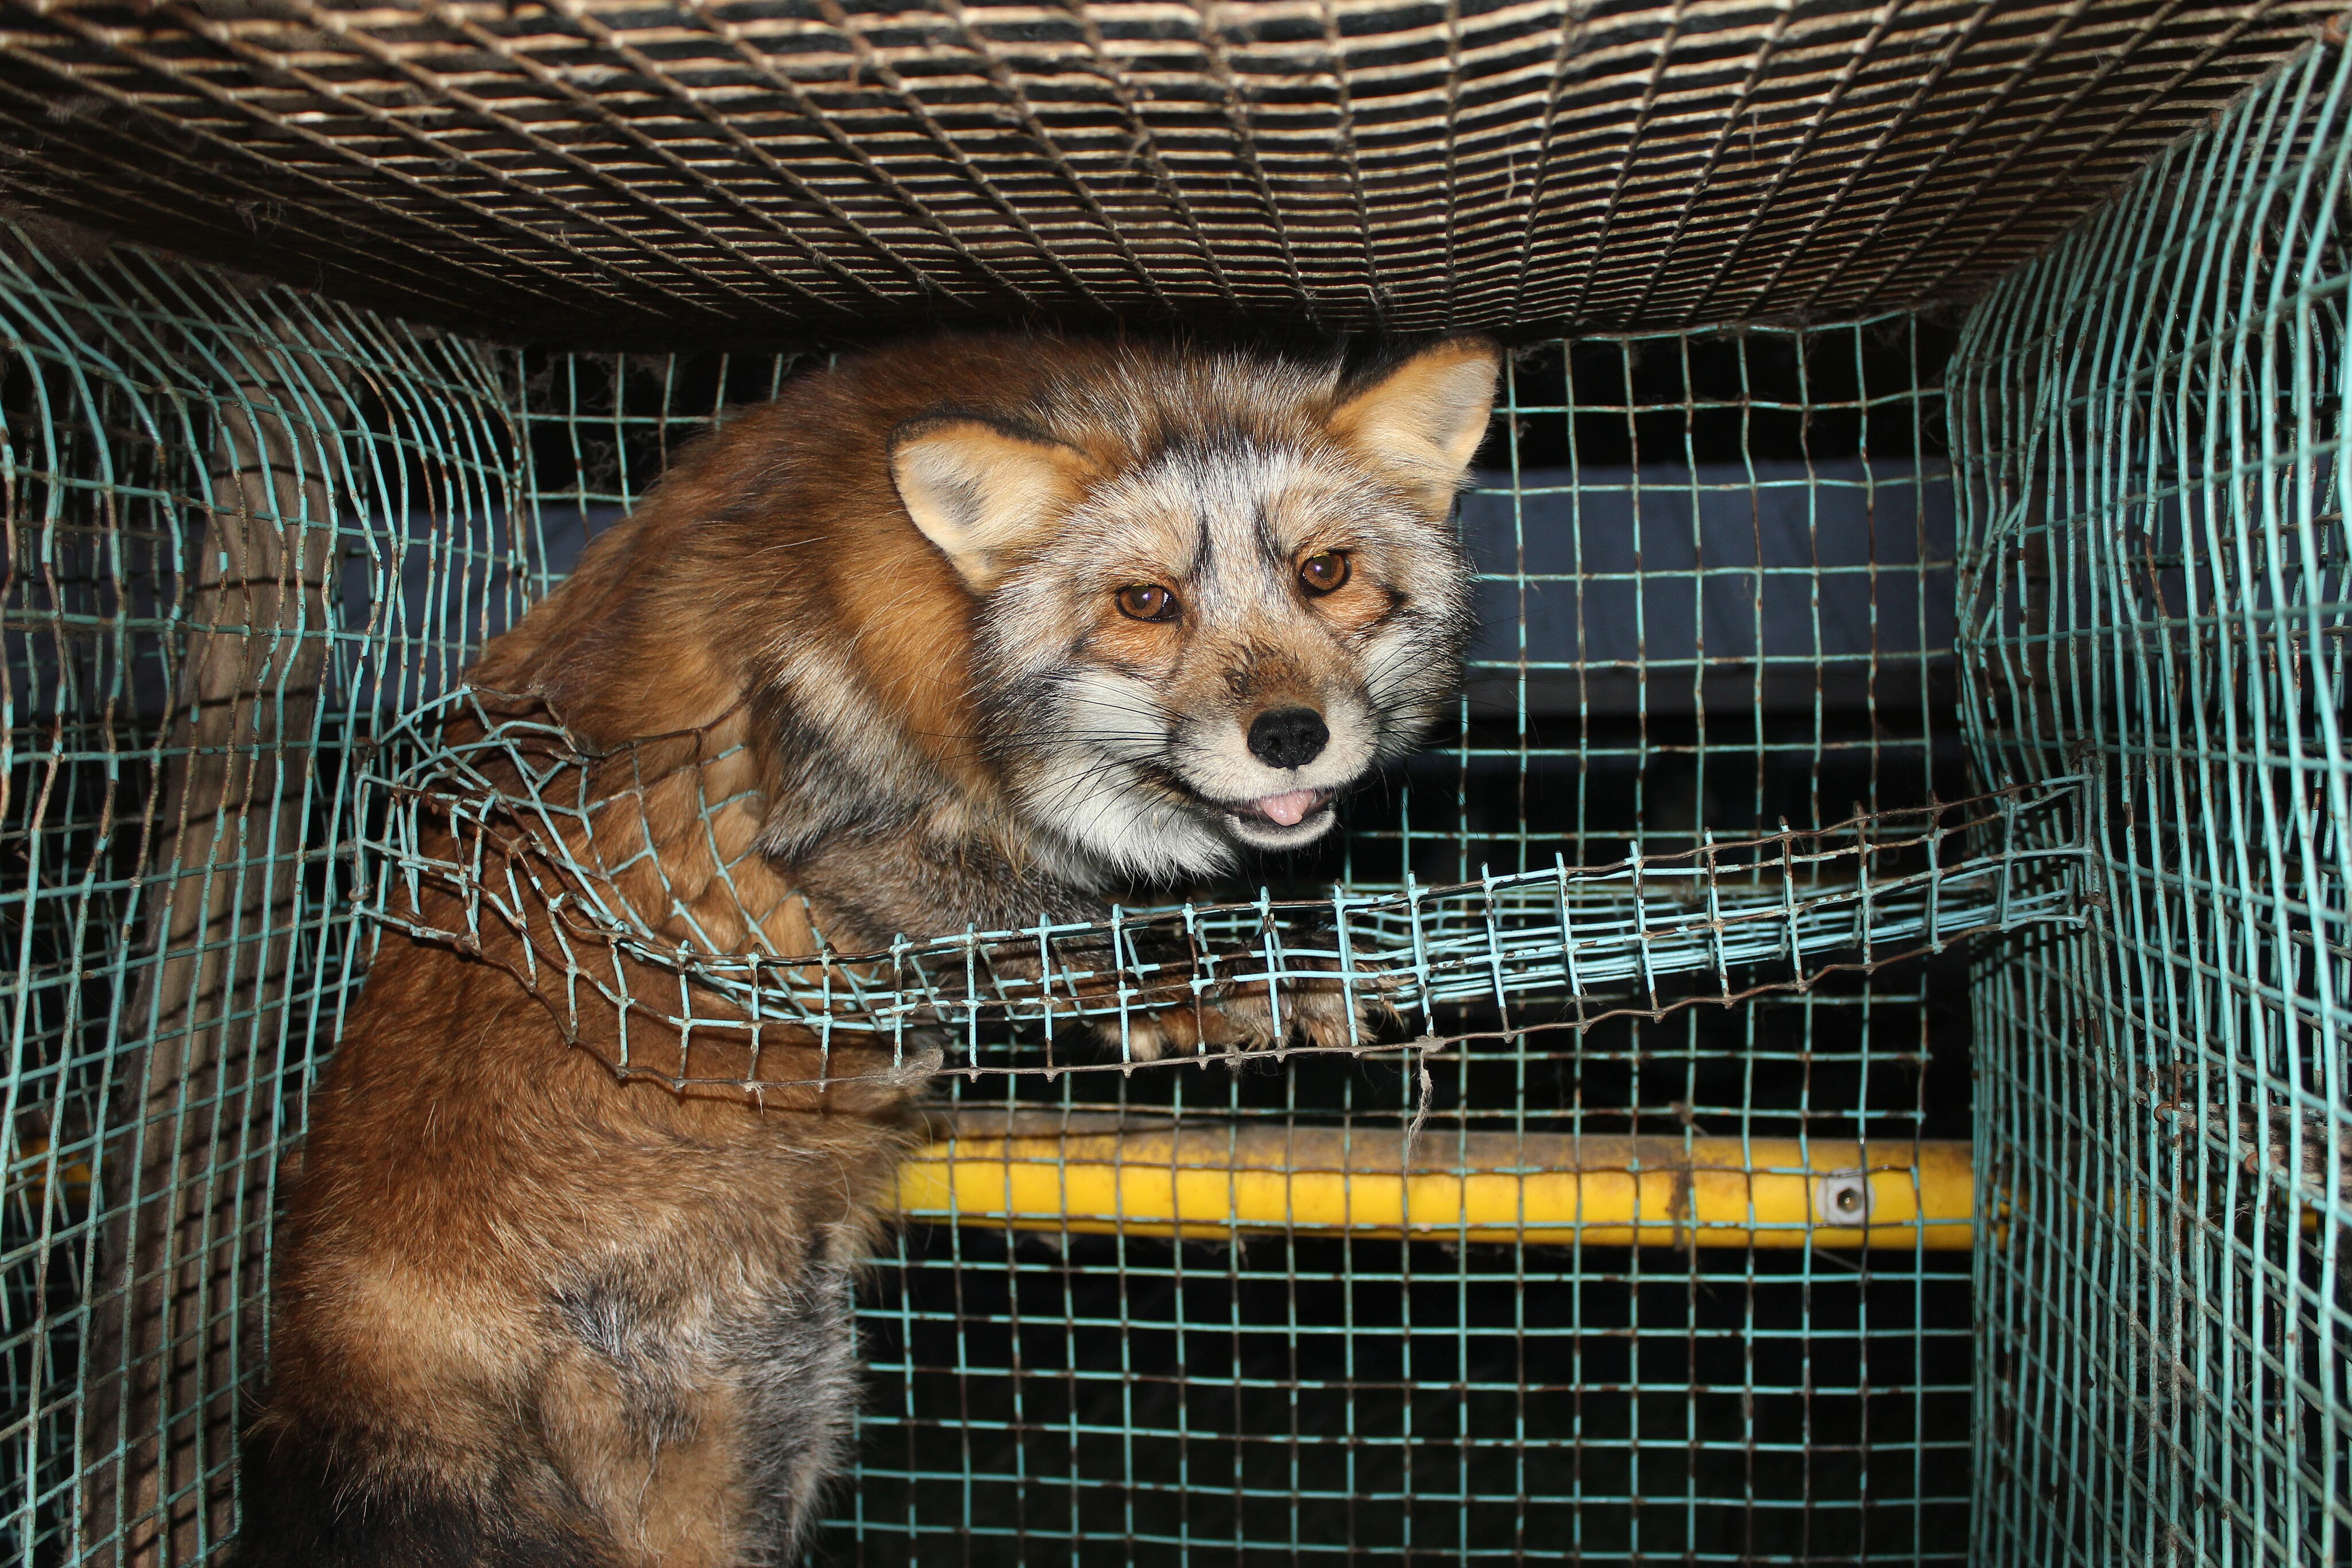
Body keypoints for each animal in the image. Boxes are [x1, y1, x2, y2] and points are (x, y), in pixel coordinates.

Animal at [229, 334, 1496, 1568]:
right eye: (1145, 602)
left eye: (1324, 573)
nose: (1289, 737)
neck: (931, 630)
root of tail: (329, 1347)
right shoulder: (837, 839)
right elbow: (1094, 942)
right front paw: (1247, 985)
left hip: (796, 1423)